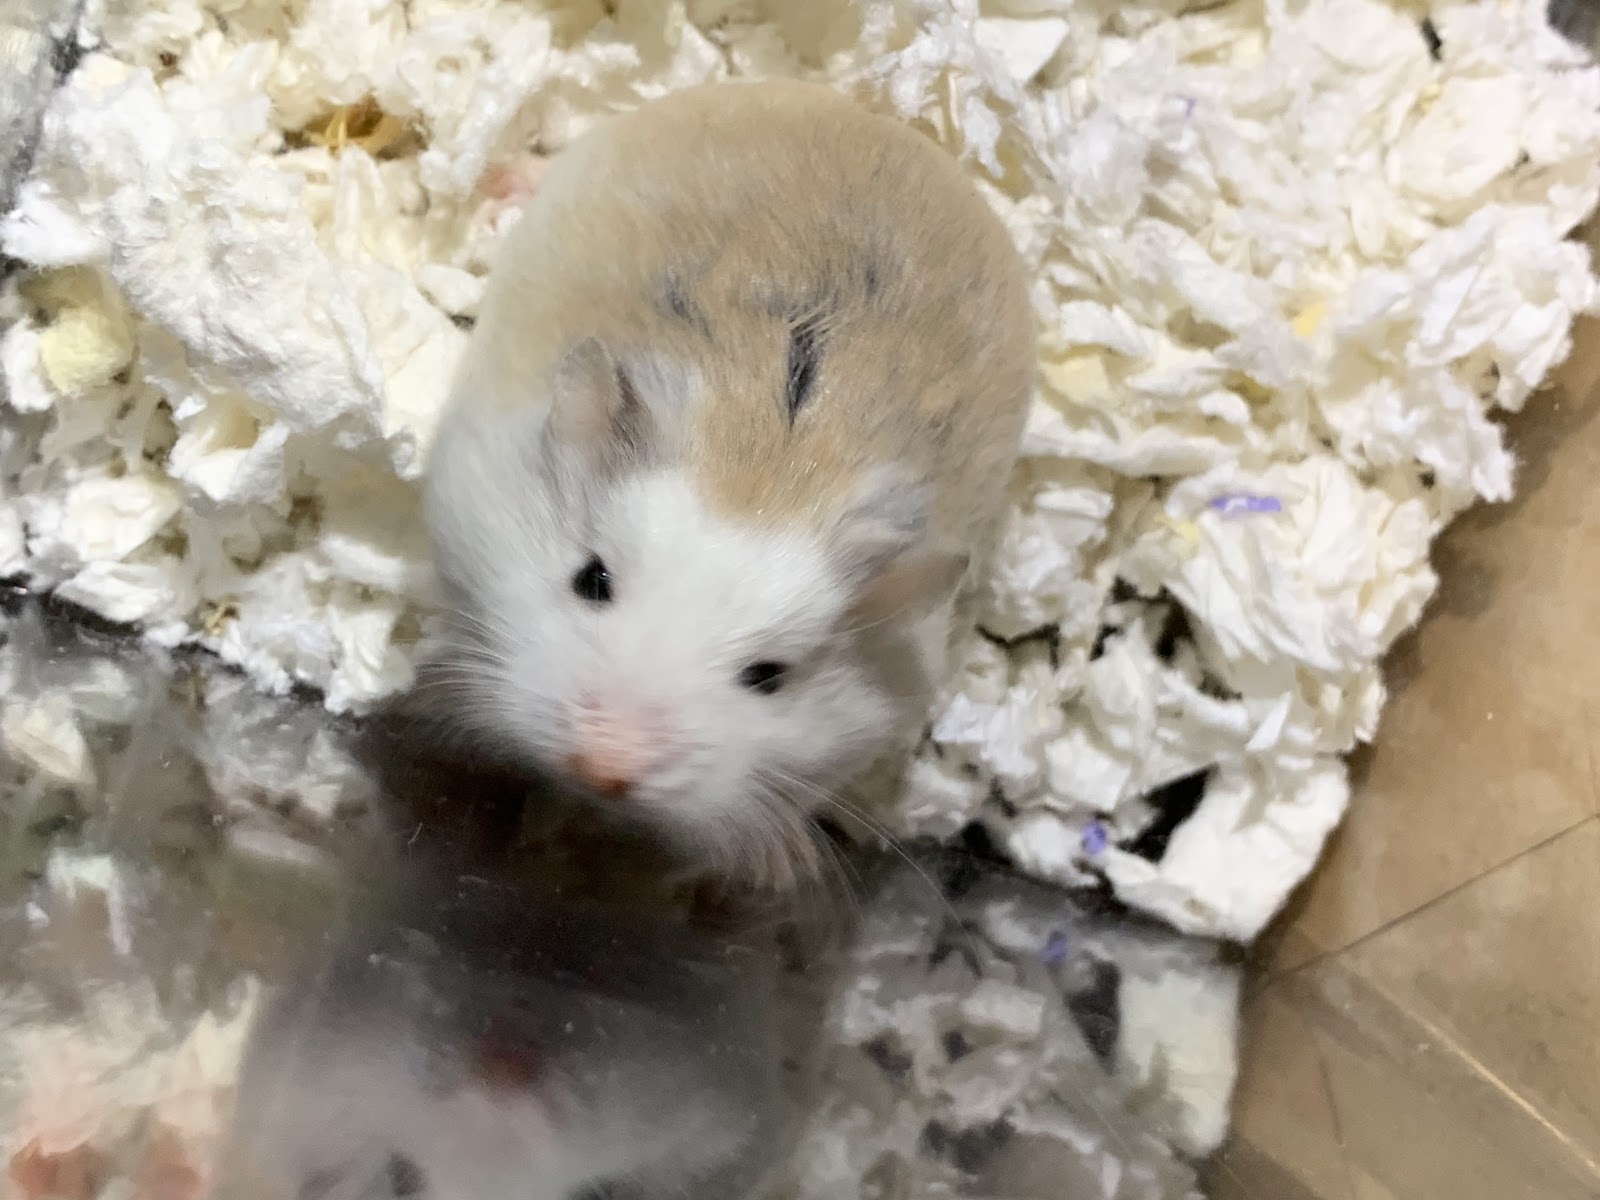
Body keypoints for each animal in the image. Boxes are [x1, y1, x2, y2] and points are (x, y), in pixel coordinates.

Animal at [424, 79, 1035, 880]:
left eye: (769, 677)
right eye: (591, 580)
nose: (602, 770)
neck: (766, 467)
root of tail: (863, 115)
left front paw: (776, 873)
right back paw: (503, 181)